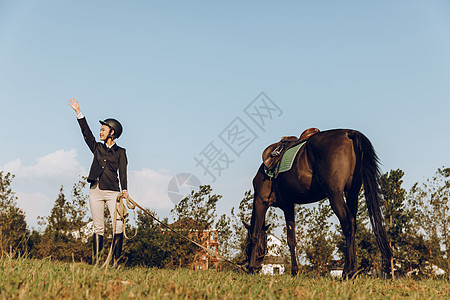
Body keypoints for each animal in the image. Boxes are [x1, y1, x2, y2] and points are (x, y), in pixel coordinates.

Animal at [241, 127, 392, 278]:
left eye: (245, 243)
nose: (245, 265)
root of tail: (348, 133)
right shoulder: (288, 206)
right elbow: (291, 240)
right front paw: (294, 271)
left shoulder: (260, 201)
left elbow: (255, 234)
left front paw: (250, 268)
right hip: (352, 193)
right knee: (353, 224)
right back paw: (352, 271)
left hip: (335, 195)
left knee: (348, 224)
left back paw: (347, 272)